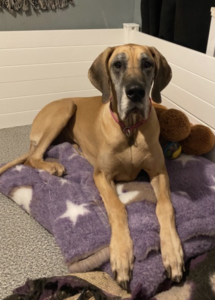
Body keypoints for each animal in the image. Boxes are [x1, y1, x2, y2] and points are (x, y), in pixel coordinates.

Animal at [0, 44, 183, 288]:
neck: (130, 128)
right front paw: (121, 255)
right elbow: (117, 208)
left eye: (147, 64)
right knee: (33, 157)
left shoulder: (159, 172)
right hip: (66, 108)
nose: (135, 92)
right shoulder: (102, 175)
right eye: (117, 64)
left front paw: (172, 253)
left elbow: (164, 206)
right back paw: (54, 167)